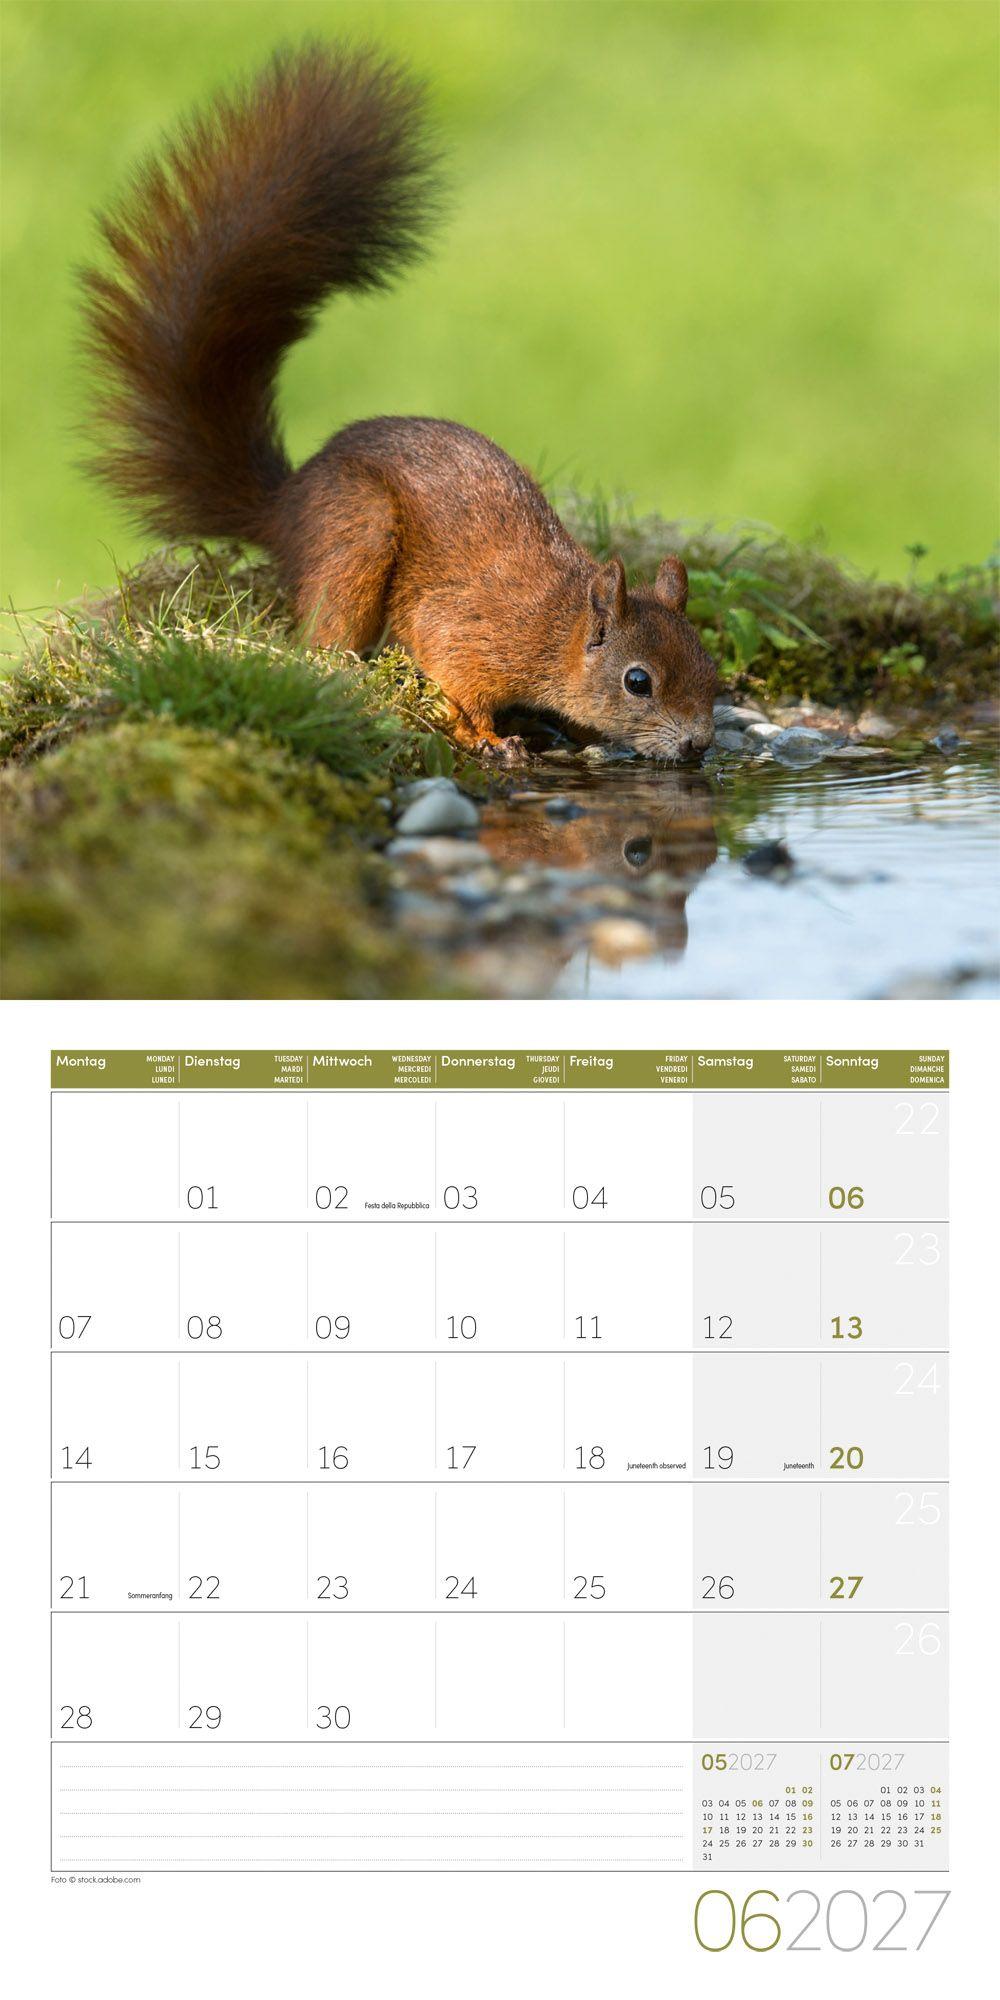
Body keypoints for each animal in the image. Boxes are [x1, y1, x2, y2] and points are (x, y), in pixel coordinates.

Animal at [80, 43, 717, 765]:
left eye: (711, 668)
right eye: (639, 681)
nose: (699, 745)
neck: (557, 626)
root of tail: (283, 507)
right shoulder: (468, 631)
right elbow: (455, 680)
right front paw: (488, 736)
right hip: (357, 531)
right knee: (323, 637)